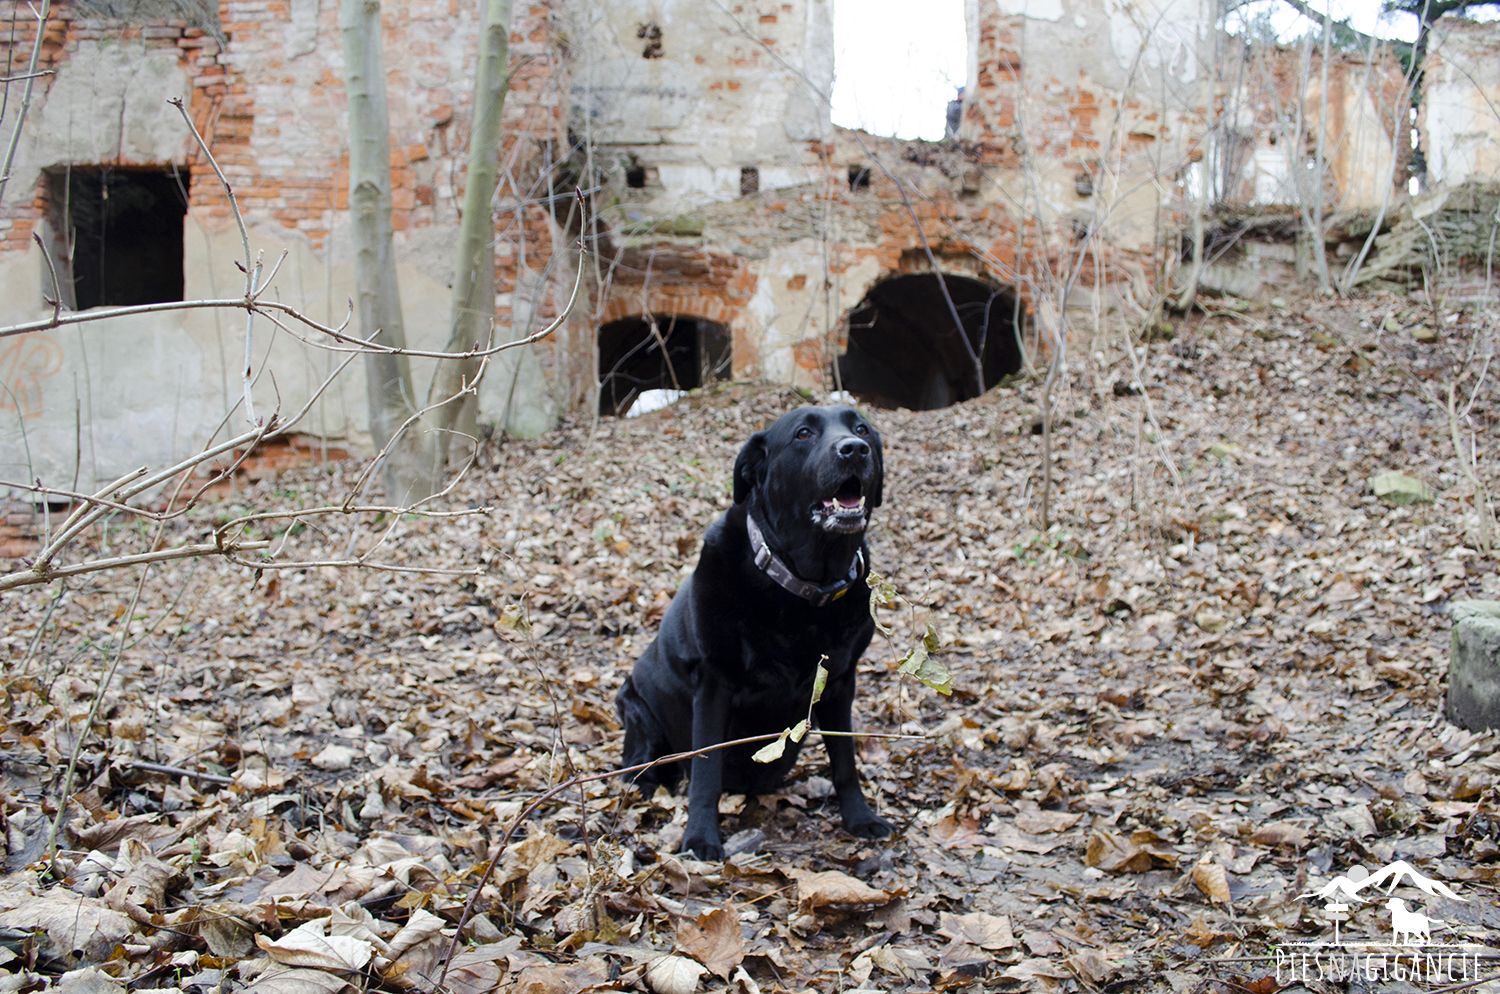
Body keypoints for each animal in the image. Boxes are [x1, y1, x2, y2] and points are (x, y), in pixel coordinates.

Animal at [618, 407, 894, 857]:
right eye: (803, 433)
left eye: (862, 429)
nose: (854, 449)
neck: (804, 587)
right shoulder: (714, 683)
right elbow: (706, 773)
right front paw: (700, 837)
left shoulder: (840, 681)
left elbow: (845, 761)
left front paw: (860, 818)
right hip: (634, 707)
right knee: (641, 765)